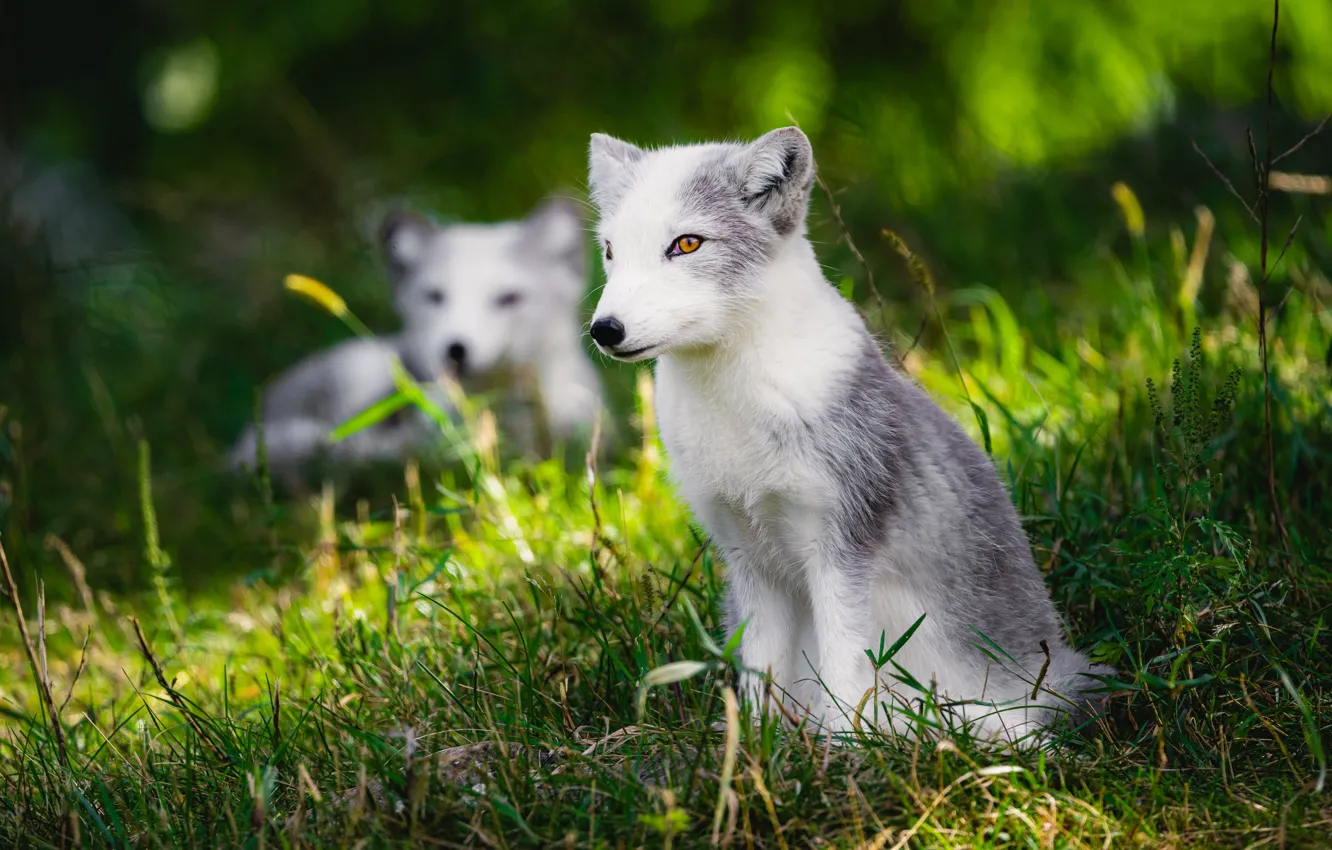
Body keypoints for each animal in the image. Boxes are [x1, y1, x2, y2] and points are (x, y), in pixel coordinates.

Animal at [585, 126, 1110, 741]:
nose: (604, 329)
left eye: (686, 244)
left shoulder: (841, 544)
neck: (735, 404)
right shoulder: (746, 553)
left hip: (977, 700)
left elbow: (843, 660)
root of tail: (1058, 668)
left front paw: (841, 744)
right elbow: (760, 670)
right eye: (610, 250)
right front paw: (758, 745)